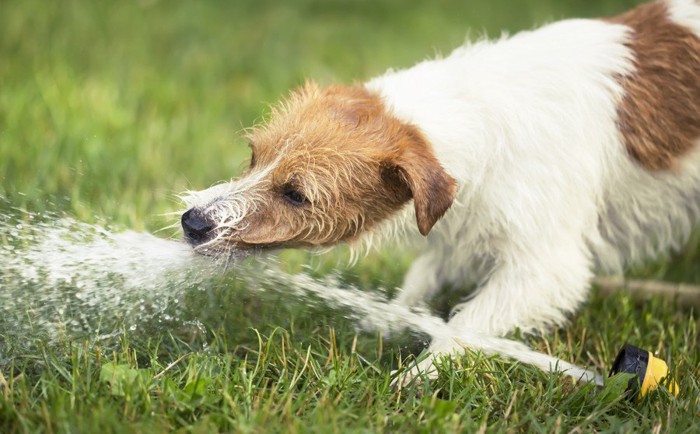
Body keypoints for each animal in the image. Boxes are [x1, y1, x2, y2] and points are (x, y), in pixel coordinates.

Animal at [179, 0, 700, 380]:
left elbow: (467, 323)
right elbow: (424, 275)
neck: (478, 117)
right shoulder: (460, 222)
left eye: (296, 195)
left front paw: (417, 376)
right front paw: (390, 320)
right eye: (254, 157)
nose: (192, 222)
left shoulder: (544, 268)